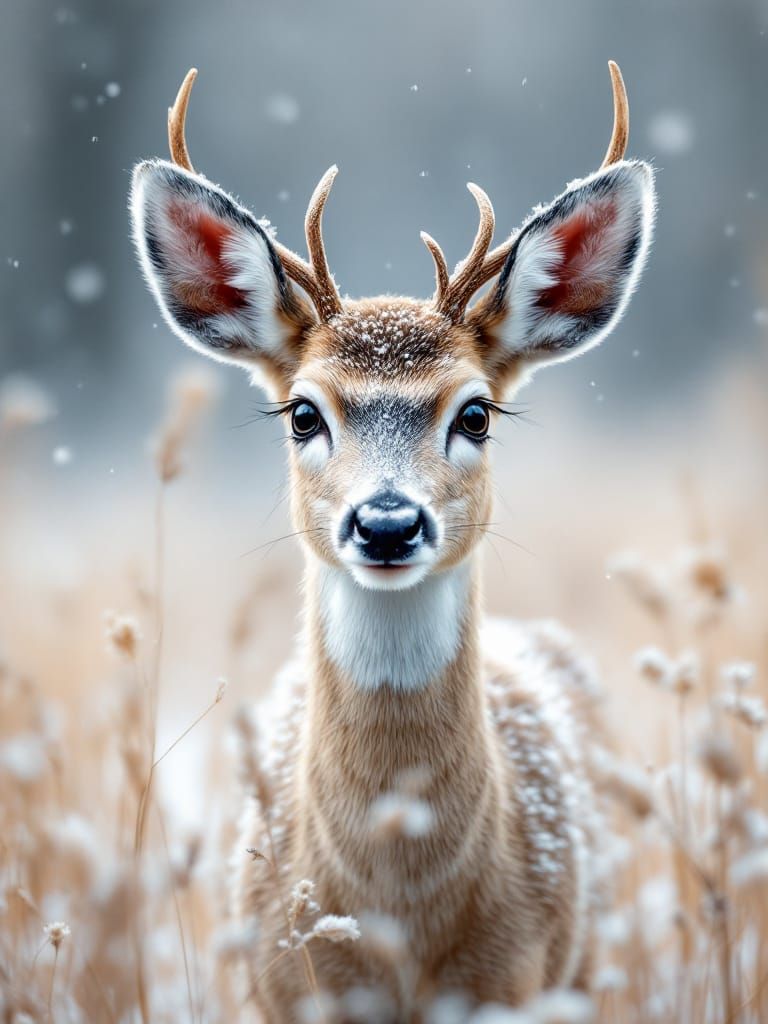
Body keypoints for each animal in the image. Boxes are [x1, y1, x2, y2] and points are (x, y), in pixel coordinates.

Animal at [130, 61, 655, 1021]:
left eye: (475, 413)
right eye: (304, 412)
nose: (385, 522)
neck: (400, 917)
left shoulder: (519, 979)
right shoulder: (287, 985)